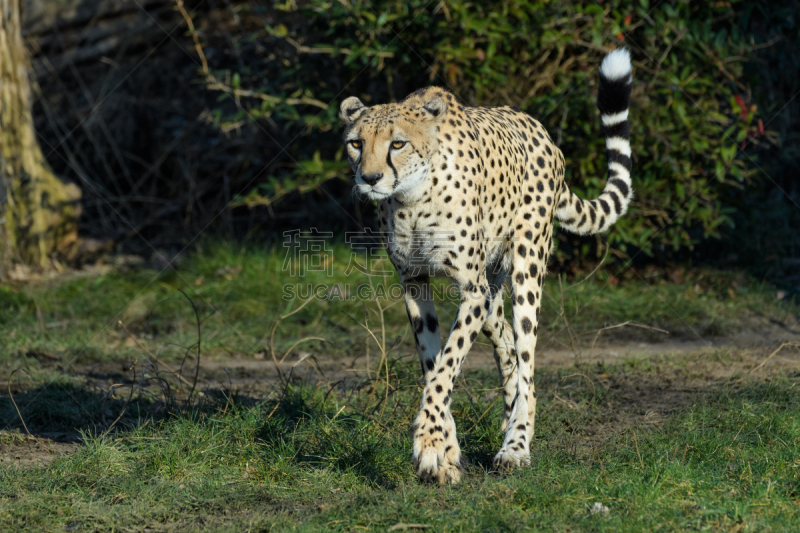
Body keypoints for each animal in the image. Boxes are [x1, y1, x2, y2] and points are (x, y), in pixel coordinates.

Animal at [338, 48, 632, 482]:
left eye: (398, 144)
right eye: (356, 143)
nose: (370, 178)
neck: (412, 199)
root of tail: (542, 132)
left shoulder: (471, 291)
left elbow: (447, 366)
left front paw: (430, 442)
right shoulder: (415, 283)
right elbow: (434, 365)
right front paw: (444, 451)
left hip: (526, 267)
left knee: (526, 359)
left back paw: (516, 445)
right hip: (493, 290)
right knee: (508, 349)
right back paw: (512, 421)